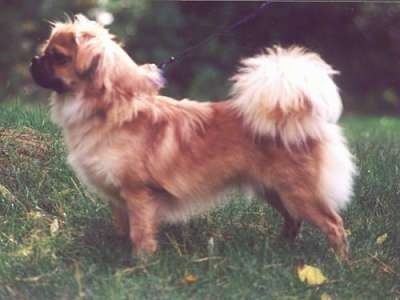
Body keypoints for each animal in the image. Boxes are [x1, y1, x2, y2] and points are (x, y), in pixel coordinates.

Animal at [31, 14, 356, 258]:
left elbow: (140, 232)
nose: (35, 59)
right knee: (293, 219)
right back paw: (282, 249)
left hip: (298, 191)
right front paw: (120, 253)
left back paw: (339, 263)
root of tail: (300, 116)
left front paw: (139, 264)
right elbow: (124, 229)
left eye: (57, 57)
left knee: (333, 224)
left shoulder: (138, 193)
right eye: (45, 52)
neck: (111, 109)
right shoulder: (119, 198)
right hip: (275, 190)